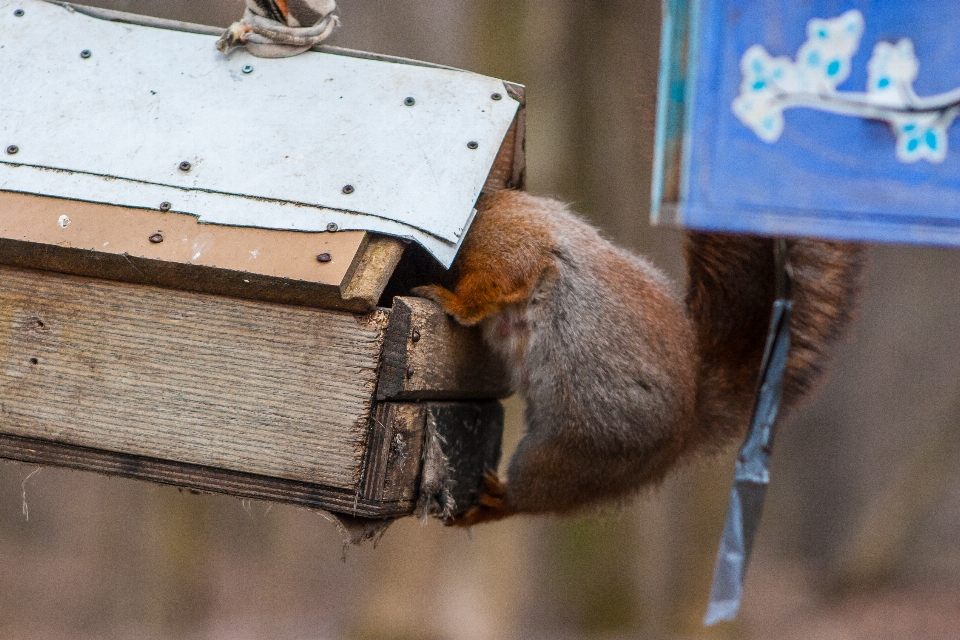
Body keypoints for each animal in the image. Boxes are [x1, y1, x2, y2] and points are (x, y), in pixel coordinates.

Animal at [412, 189, 864, 524]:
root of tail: (687, 422)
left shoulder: (507, 243)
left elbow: (487, 290)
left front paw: (446, 299)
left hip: (570, 456)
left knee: (532, 496)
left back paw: (491, 503)